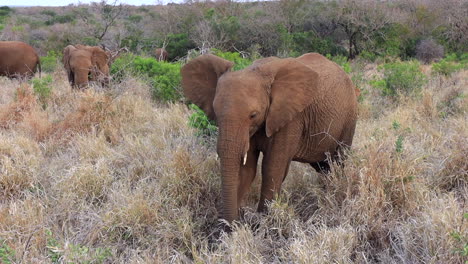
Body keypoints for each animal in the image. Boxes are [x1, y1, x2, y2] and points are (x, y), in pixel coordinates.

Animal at [181, 52, 356, 224]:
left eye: (253, 115)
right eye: (216, 113)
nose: (228, 225)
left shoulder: (291, 118)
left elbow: (272, 167)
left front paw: (263, 223)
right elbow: (247, 169)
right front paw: (238, 225)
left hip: (349, 119)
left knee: (337, 162)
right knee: (324, 167)